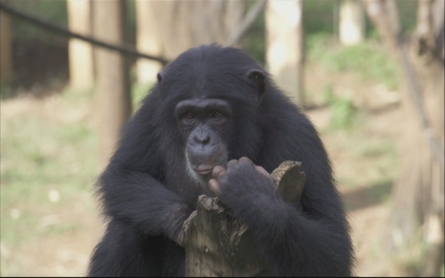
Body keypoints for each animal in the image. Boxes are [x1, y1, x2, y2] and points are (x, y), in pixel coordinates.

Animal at [88, 43, 354, 276]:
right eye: (188, 116)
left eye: (216, 114)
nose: (202, 139)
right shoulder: (151, 110)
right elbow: (122, 174)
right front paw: (181, 219)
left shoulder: (298, 135)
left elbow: (334, 244)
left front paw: (250, 192)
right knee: (126, 228)